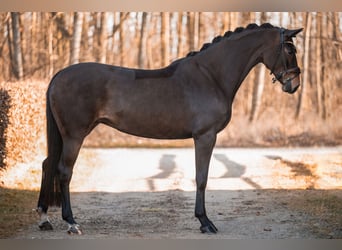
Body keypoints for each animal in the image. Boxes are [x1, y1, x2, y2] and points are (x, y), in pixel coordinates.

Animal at [36, 23, 300, 234]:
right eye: (289, 50)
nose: (294, 84)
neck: (211, 76)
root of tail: (58, 75)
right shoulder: (205, 137)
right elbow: (201, 178)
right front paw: (205, 222)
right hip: (74, 135)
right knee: (64, 171)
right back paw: (71, 222)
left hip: (65, 136)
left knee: (48, 164)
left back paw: (44, 218)